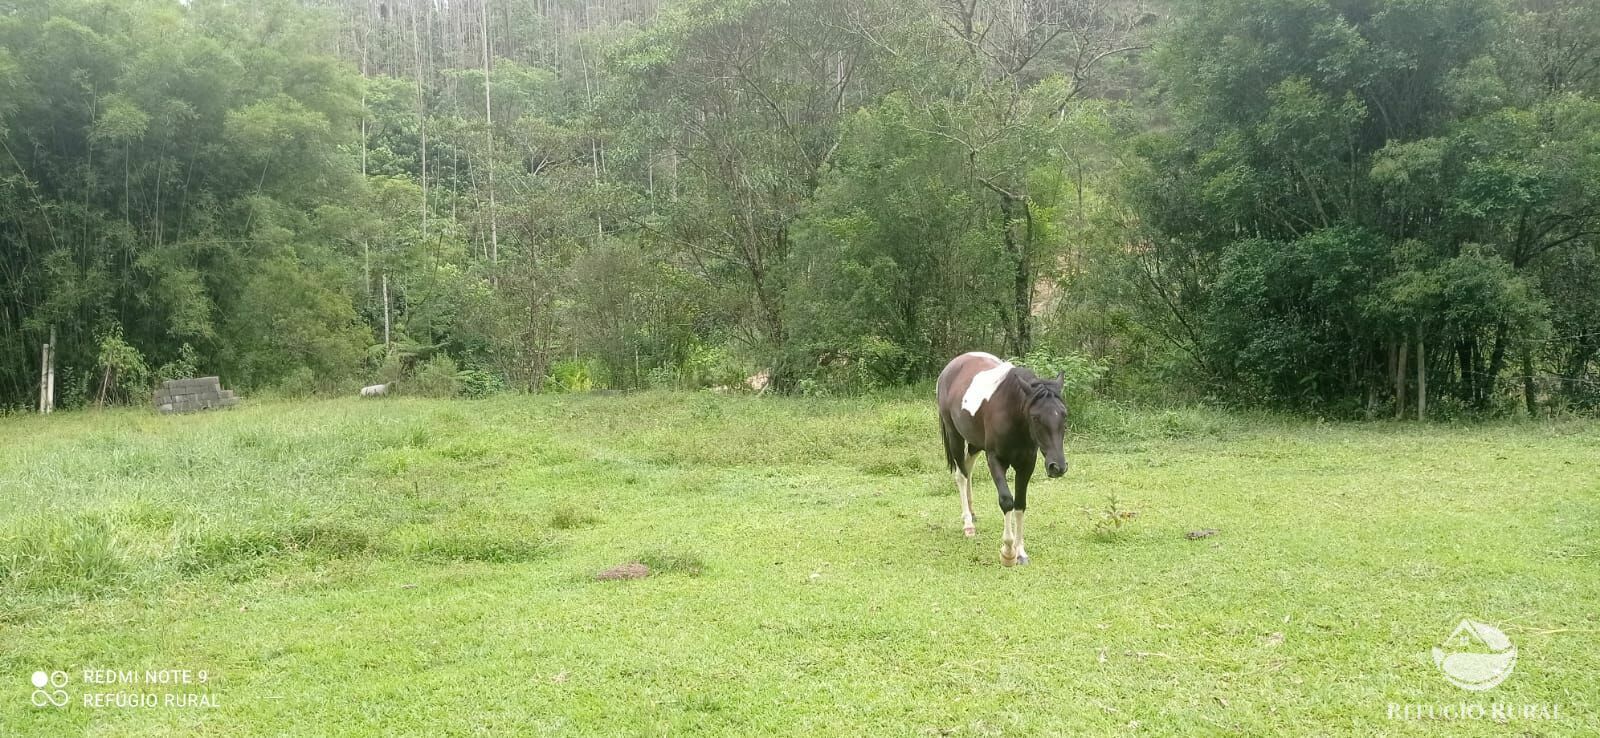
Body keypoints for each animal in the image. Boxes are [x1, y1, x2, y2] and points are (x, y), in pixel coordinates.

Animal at [934, 350, 1068, 563]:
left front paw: (1020, 551)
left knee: (968, 468)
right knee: (961, 475)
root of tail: (951, 367)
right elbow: (1006, 500)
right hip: (955, 435)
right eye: (1036, 417)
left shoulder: (1027, 463)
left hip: (975, 442)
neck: (1012, 413)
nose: (1058, 467)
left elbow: (1020, 503)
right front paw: (1008, 551)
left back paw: (972, 513)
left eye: (1064, 415)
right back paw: (968, 524)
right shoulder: (995, 460)